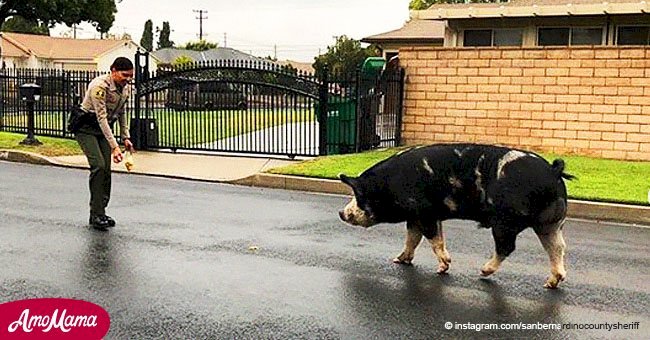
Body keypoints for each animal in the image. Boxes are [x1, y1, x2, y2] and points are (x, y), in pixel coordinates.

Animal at [340, 142, 572, 288]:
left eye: (358, 195)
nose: (341, 213)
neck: (390, 185)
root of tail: (553, 171)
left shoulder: (425, 212)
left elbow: (433, 240)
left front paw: (443, 268)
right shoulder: (416, 216)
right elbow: (412, 239)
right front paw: (398, 260)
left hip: (505, 221)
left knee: (507, 247)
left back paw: (483, 271)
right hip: (551, 223)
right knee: (557, 247)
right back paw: (551, 283)